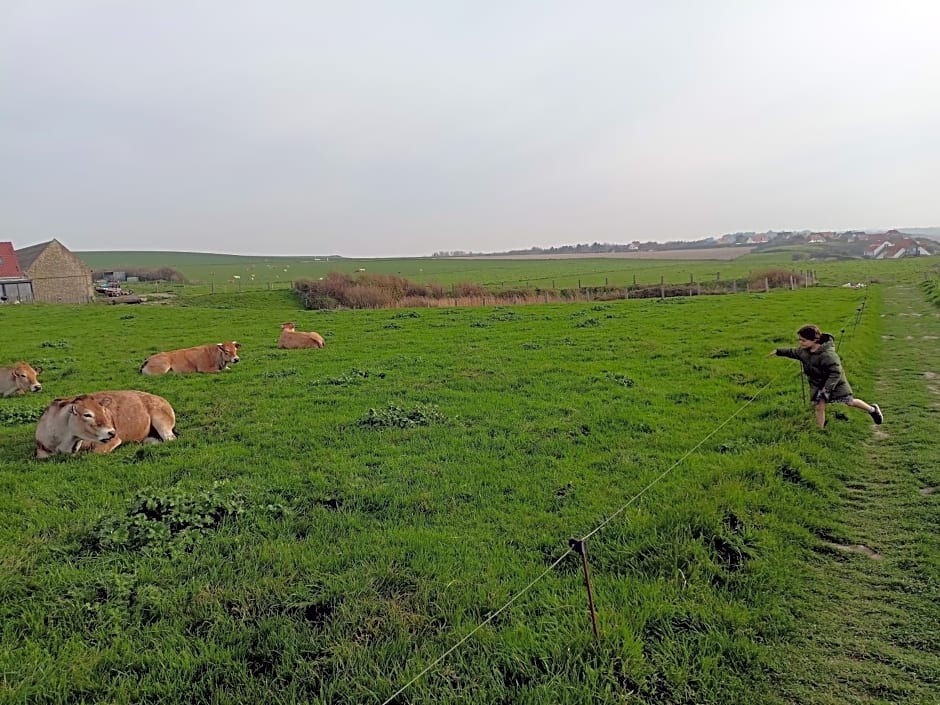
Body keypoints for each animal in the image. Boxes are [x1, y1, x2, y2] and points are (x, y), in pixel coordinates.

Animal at [34, 388, 178, 460]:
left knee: (170, 439)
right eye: (87, 414)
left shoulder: (112, 440)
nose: (112, 432)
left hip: (162, 422)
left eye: (104, 411)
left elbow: (94, 453)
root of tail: (159, 398)